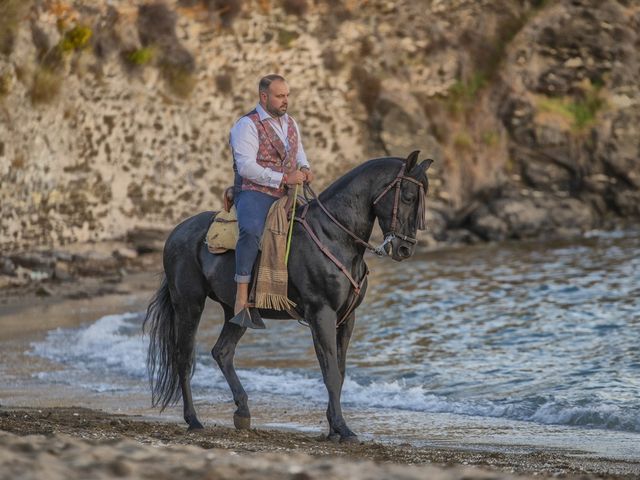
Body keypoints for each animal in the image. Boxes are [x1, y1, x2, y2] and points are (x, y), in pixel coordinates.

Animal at [144, 151, 432, 442]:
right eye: (408, 197)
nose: (405, 248)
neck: (334, 236)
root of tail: (177, 232)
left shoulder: (347, 318)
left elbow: (339, 372)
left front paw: (333, 429)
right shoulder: (321, 314)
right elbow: (330, 373)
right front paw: (343, 429)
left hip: (236, 312)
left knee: (222, 352)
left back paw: (242, 412)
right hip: (189, 304)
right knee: (184, 358)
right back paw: (193, 420)